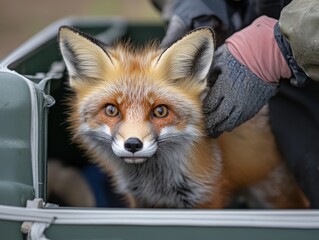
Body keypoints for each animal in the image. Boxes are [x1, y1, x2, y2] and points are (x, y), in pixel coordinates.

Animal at [58, 25, 310, 208]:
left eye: (160, 111)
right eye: (111, 110)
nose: (133, 145)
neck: (156, 181)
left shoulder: (207, 195)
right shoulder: (140, 200)